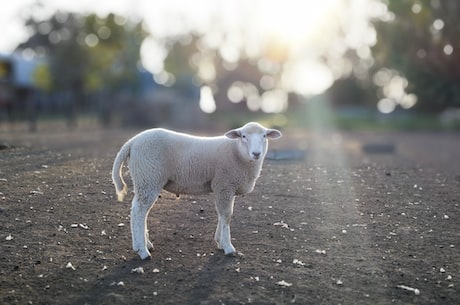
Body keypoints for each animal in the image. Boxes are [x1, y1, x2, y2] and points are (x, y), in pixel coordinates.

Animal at [113, 121, 282, 258]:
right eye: (244, 136)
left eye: (265, 136)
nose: (256, 153)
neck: (238, 153)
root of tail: (133, 141)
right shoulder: (224, 185)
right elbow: (226, 215)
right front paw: (228, 247)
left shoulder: (225, 187)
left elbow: (222, 214)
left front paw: (219, 241)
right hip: (148, 177)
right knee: (139, 212)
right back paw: (142, 250)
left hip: (146, 179)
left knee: (141, 212)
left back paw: (146, 244)